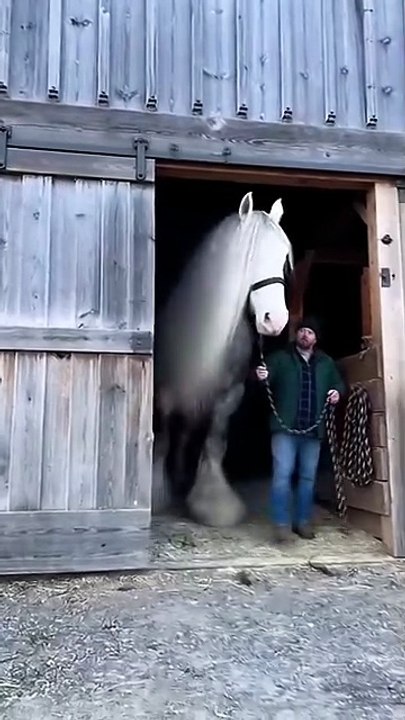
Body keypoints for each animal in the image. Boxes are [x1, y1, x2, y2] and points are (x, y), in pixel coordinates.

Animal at [153, 191, 293, 527]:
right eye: (250, 258)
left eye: (283, 257)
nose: (275, 320)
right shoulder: (164, 395)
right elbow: (162, 438)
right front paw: (156, 494)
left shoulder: (228, 396)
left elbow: (214, 443)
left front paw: (213, 504)